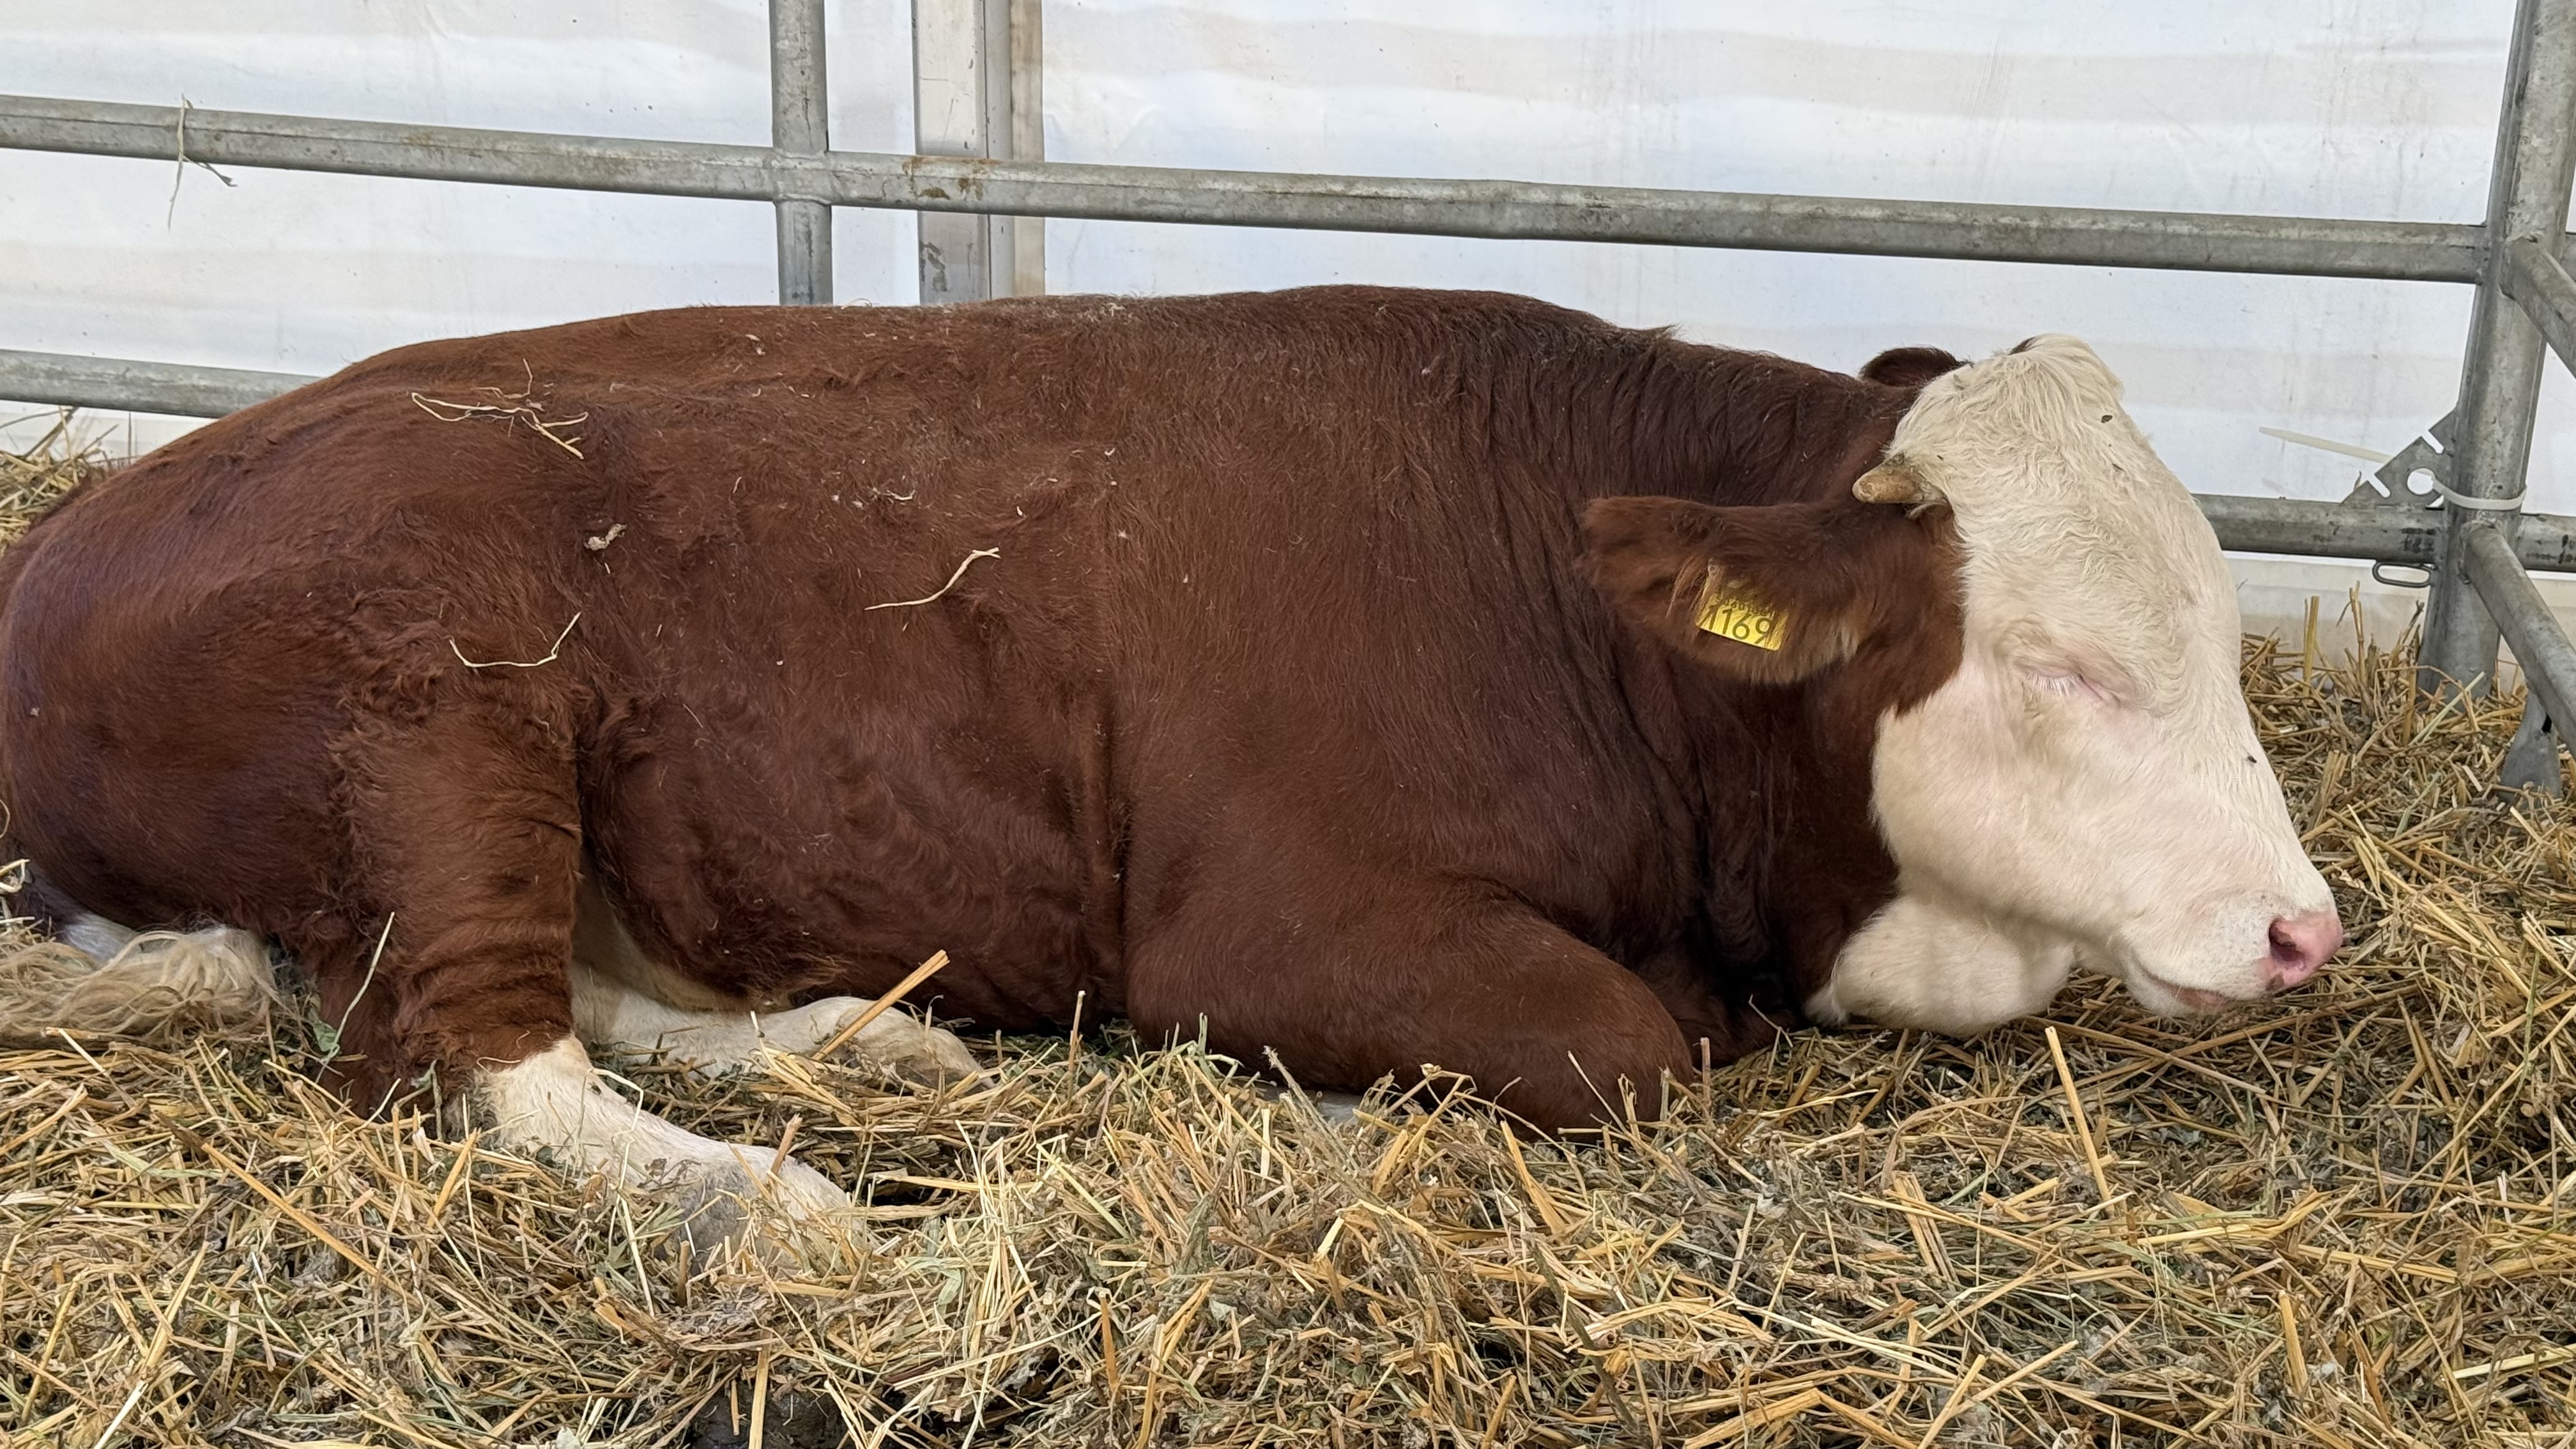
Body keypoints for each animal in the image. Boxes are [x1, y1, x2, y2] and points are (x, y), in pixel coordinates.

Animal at [0, 287, 2339, 1227]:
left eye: (2219, 631)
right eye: (2060, 663)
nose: (2308, 931)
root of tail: (82, 525)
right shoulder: (1273, 923)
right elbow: (1635, 1050)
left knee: (557, 991)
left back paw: (864, 1044)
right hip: (441, 698)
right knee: (465, 1051)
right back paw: (776, 1205)